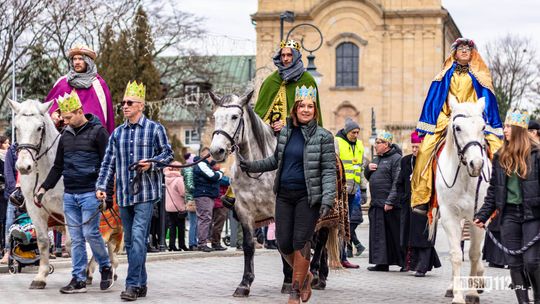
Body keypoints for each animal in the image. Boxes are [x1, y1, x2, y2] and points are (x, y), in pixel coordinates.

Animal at [8, 98, 65, 288]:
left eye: (39, 128)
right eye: (16, 127)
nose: (23, 167)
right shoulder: (35, 209)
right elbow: (42, 241)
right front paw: (40, 277)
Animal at [432, 97, 492, 304]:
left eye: (483, 127)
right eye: (457, 127)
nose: (477, 164)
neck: (466, 177)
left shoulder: (478, 217)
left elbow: (474, 253)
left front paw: (472, 292)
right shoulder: (449, 216)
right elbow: (456, 254)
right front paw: (458, 295)